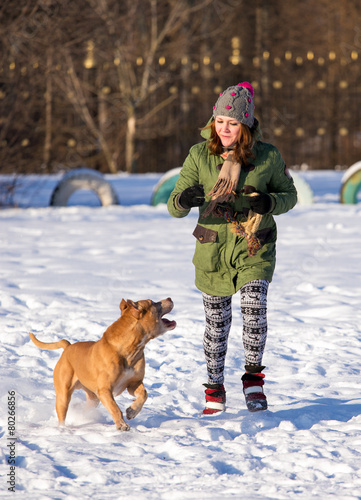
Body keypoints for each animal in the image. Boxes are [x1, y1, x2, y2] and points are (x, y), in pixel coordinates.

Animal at [28, 296, 175, 430]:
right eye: (153, 302)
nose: (169, 298)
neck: (130, 350)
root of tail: (68, 347)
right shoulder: (105, 390)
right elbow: (114, 408)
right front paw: (121, 425)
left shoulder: (133, 384)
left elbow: (144, 394)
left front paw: (132, 411)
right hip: (64, 395)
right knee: (62, 411)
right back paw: (63, 429)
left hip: (93, 399)